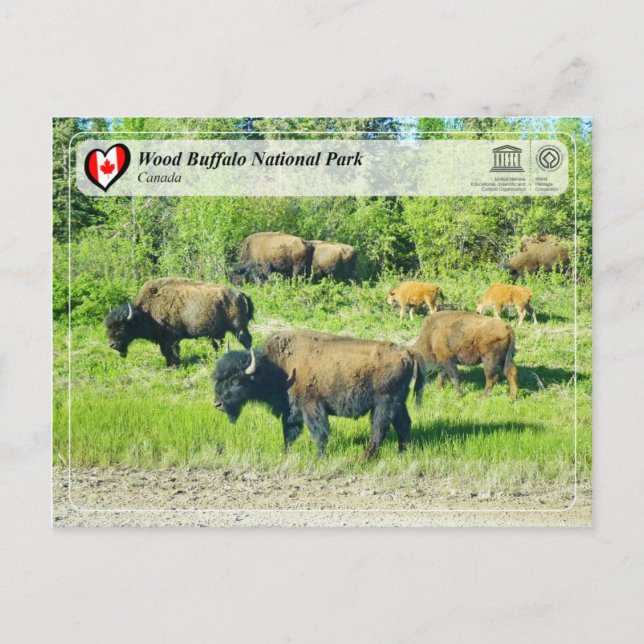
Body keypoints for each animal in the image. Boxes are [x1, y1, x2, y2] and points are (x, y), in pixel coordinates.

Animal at [105, 277, 254, 366]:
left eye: (121, 328)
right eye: (108, 328)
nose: (111, 345)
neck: (145, 312)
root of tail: (238, 293)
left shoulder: (171, 339)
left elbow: (172, 352)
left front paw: (174, 366)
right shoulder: (163, 340)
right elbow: (166, 353)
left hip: (238, 328)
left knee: (246, 341)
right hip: (219, 333)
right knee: (219, 344)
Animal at [212, 330, 425, 460]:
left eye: (236, 380)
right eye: (218, 378)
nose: (217, 404)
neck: (278, 367)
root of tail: (407, 353)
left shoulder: (311, 407)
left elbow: (319, 433)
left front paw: (320, 457)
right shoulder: (291, 411)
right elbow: (289, 434)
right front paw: (285, 453)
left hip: (383, 403)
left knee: (379, 430)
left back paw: (363, 459)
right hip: (398, 402)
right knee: (404, 424)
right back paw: (402, 453)